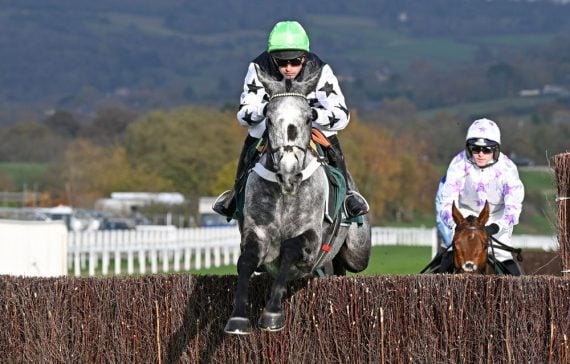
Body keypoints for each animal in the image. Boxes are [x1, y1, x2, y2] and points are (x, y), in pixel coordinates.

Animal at [224, 66, 370, 336]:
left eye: (309, 119)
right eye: (269, 119)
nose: (289, 173)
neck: (285, 192)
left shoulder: (310, 238)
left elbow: (290, 251)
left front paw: (272, 314)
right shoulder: (256, 233)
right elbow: (246, 261)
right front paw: (238, 318)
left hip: (358, 252)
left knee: (346, 264)